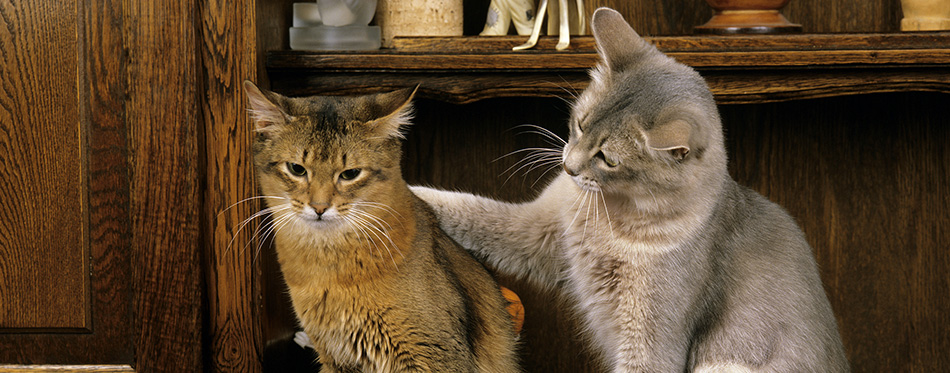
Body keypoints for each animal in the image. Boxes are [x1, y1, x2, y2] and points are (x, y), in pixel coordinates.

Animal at [242, 82, 516, 372]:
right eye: (296, 169)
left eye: (350, 174)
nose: (319, 207)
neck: (329, 268)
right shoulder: (335, 357)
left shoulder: (436, 354)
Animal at [412, 6, 852, 372]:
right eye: (580, 123)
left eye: (608, 159)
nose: (568, 167)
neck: (612, 215)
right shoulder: (536, 231)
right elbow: (468, 209)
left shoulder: (650, 336)